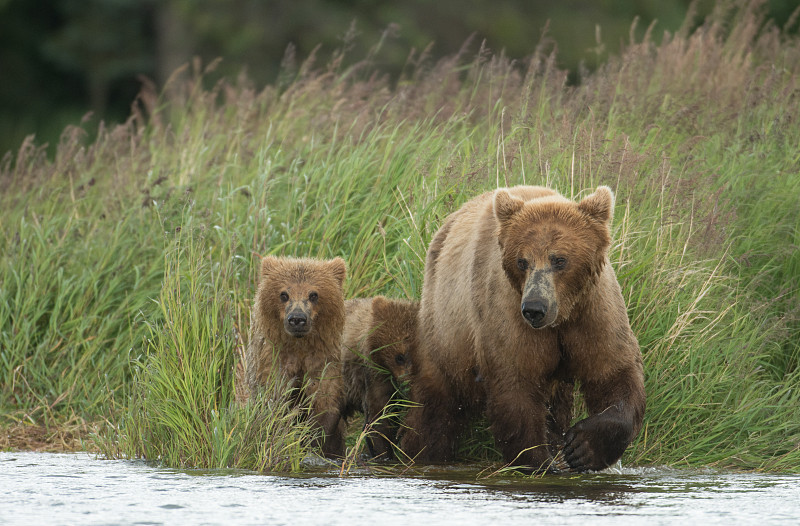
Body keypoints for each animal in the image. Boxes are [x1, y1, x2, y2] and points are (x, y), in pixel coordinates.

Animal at [400, 187, 644, 474]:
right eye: (522, 261)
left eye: (559, 260)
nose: (535, 308)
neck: (561, 317)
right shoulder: (508, 315)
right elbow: (515, 385)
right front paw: (539, 462)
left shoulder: (593, 313)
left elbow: (613, 372)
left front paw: (582, 447)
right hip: (444, 328)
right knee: (434, 404)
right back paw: (419, 452)